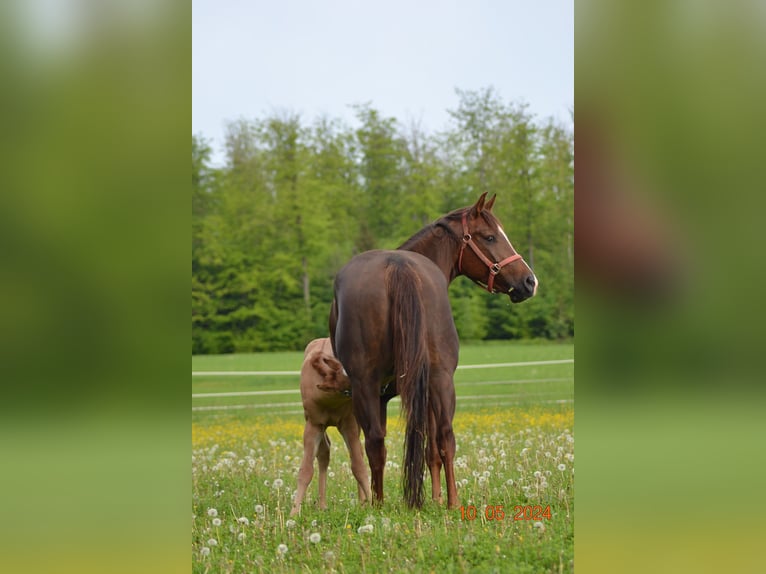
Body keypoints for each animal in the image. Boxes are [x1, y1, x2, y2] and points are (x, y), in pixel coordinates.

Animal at [292, 338, 372, 516]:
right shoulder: (313, 425)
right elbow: (306, 470)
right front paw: (294, 513)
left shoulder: (349, 423)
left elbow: (358, 466)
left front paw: (373, 502)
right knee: (324, 453)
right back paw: (322, 505)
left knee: (358, 453)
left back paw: (362, 502)